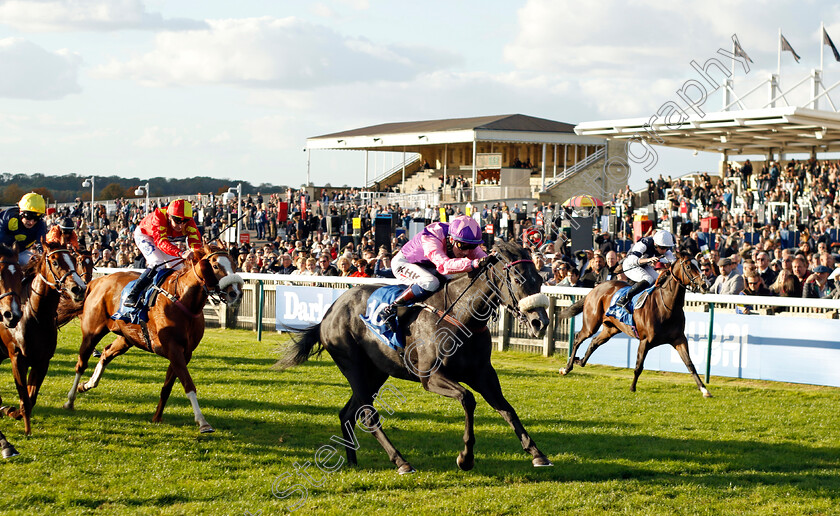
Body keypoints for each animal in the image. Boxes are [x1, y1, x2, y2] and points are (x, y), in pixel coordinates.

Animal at [0, 243, 86, 436]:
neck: (36, 317)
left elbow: (30, 398)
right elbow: (25, 398)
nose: (79, 288)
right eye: (55, 261)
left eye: (74, 259)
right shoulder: (17, 358)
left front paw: (13, 412)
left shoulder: (42, 361)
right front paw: (26, 430)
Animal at [56, 244, 243, 434]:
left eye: (234, 264)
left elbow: (168, 386)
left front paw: (157, 417)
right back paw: (70, 400)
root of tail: (96, 282)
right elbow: (188, 384)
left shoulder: (185, 353)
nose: (235, 293)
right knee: (81, 364)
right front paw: (202, 422)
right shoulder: (173, 349)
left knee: (106, 353)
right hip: (92, 332)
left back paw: (87, 384)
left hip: (127, 337)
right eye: (215, 266)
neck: (183, 299)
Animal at [282, 240, 556, 474]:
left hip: (376, 373)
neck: (461, 315)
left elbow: (507, 409)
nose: (540, 322)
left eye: (540, 279)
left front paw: (537, 454)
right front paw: (465, 458)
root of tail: (329, 313)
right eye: (518, 279)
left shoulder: (483, 374)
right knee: (368, 415)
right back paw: (401, 462)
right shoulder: (431, 377)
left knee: (348, 413)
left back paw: (352, 462)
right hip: (353, 366)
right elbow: (468, 399)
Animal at [556, 252, 708, 398]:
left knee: (594, 342)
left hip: (611, 328)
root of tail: (595, 288)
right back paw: (566, 368)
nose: (704, 284)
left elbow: (690, 364)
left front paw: (704, 389)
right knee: (578, 339)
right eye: (688, 266)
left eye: (699, 265)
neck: (667, 306)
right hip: (591, 324)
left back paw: (580, 361)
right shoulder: (645, 341)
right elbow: (638, 366)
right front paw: (632, 388)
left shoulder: (679, 339)